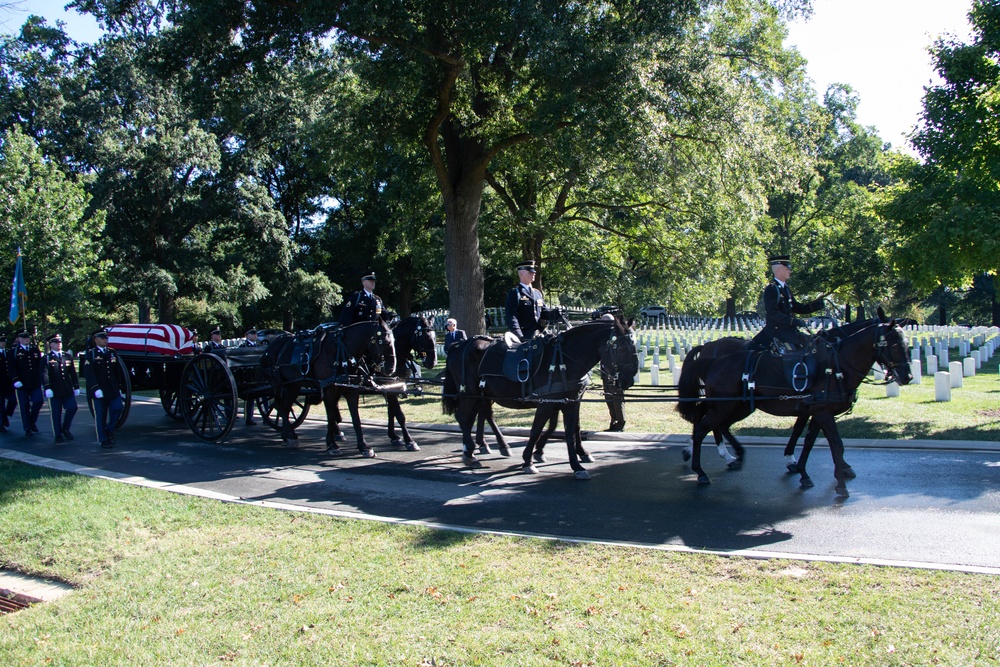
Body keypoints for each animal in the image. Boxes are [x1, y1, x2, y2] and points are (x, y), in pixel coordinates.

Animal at [264, 320, 396, 456]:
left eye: (394, 340)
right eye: (382, 342)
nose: (391, 368)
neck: (341, 351)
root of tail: (270, 347)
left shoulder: (351, 390)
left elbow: (355, 418)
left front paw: (363, 446)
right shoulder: (329, 390)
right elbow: (331, 416)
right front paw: (332, 444)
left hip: (293, 386)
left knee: (284, 407)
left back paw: (286, 435)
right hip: (281, 385)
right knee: (279, 405)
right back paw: (291, 435)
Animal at [442, 318, 636, 480]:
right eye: (622, 348)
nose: (629, 380)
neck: (564, 359)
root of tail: (460, 345)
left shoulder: (571, 402)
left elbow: (571, 429)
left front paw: (577, 462)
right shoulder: (547, 404)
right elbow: (537, 429)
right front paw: (529, 460)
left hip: (483, 395)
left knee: (480, 416)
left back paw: (489, 447)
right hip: (470, 393)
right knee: (464, 417)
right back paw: (470, 452)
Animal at [676, 318, 912, 496]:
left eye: (907, 344)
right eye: (893, 345)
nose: (907, 376)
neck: (836, 366)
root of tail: (712, 355)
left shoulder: (817, 412)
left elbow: (807, 440)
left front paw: (802, 470)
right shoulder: (821, 412)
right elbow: (834, 444)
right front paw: (839, 481)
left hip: (736, 407)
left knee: (714, 425)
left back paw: (729, 456)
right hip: (725, 407)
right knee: (702, 427)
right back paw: (702, 468)